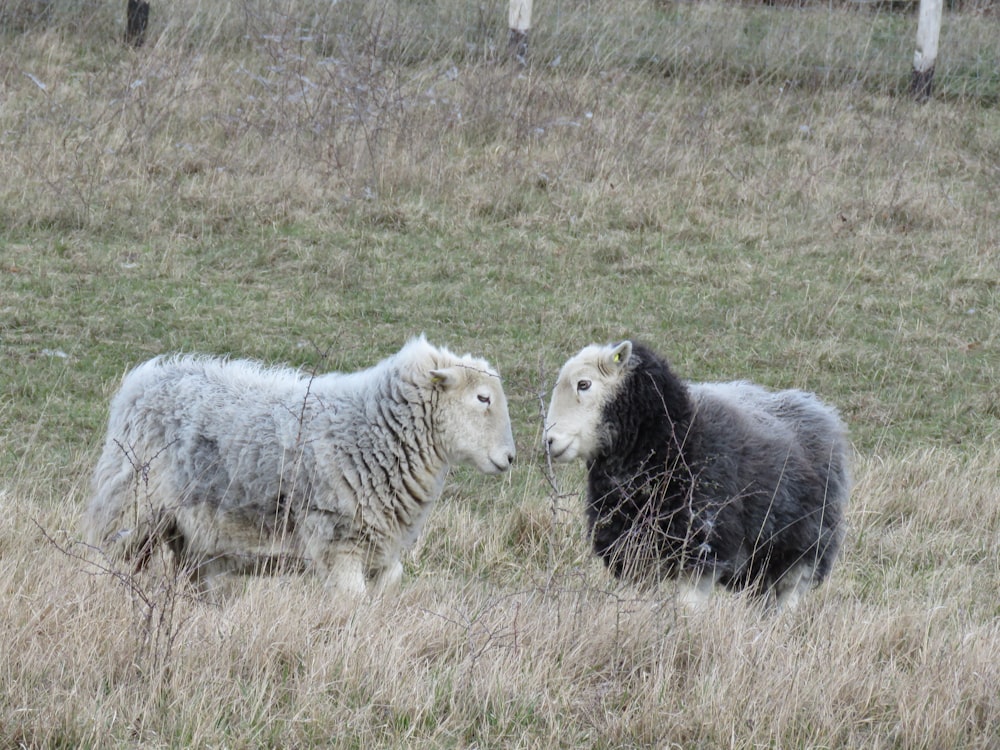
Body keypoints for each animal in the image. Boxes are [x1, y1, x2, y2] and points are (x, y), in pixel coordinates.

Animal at [84, 338, 516, 596]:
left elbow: (389, 587)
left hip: (190, 537)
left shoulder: (380, 548)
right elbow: (352, 603)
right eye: (482, 398)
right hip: (130, 508)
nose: (510, 458)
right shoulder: (337, 542)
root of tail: (143, 378)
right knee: (106, 561)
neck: (371, 427)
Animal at [548, 340, 852, 612]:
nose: (549, 441)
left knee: (788, 597)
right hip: (761, 563)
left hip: (805, 548)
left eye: (584, 384)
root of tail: (818, 407)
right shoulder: (633, 550)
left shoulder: (704, 548)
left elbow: (688, 608)